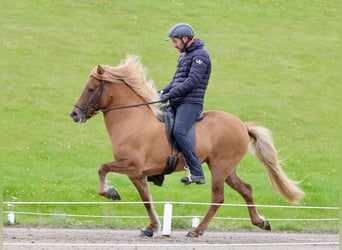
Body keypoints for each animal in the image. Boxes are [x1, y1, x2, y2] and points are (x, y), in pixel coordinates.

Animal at [69, 55, 304, 238]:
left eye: (90, 89)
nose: (74, 114)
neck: (132, 119)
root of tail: (242, 125)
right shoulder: (137, 174)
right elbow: (147, 200)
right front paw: (151, 227)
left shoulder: (132, 166)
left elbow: (103, 168)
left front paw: (109, 192)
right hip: (227, 169)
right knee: (246, 189)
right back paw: (260, 222)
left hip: (219, 167)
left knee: (218, 198)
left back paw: (197, 230)